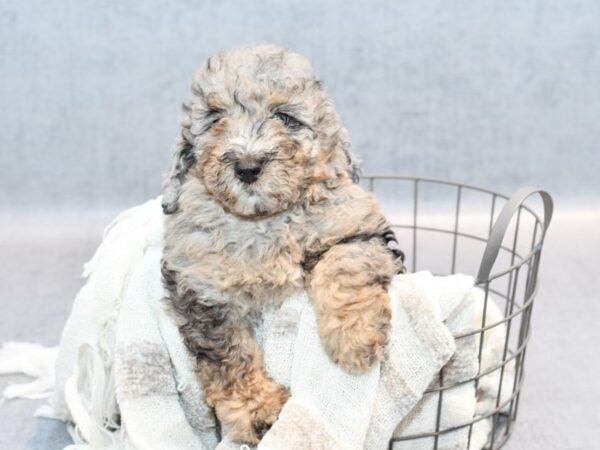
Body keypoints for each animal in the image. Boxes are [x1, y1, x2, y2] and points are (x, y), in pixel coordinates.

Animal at [161, 44, 404, 444]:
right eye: (214, 119)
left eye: (285, 117)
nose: (247, 167)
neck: (264, 221)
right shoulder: (203, 290)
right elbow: (230, 357)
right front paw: (259, 411)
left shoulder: (358, 226)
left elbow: (344, 264)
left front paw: (355, 339)